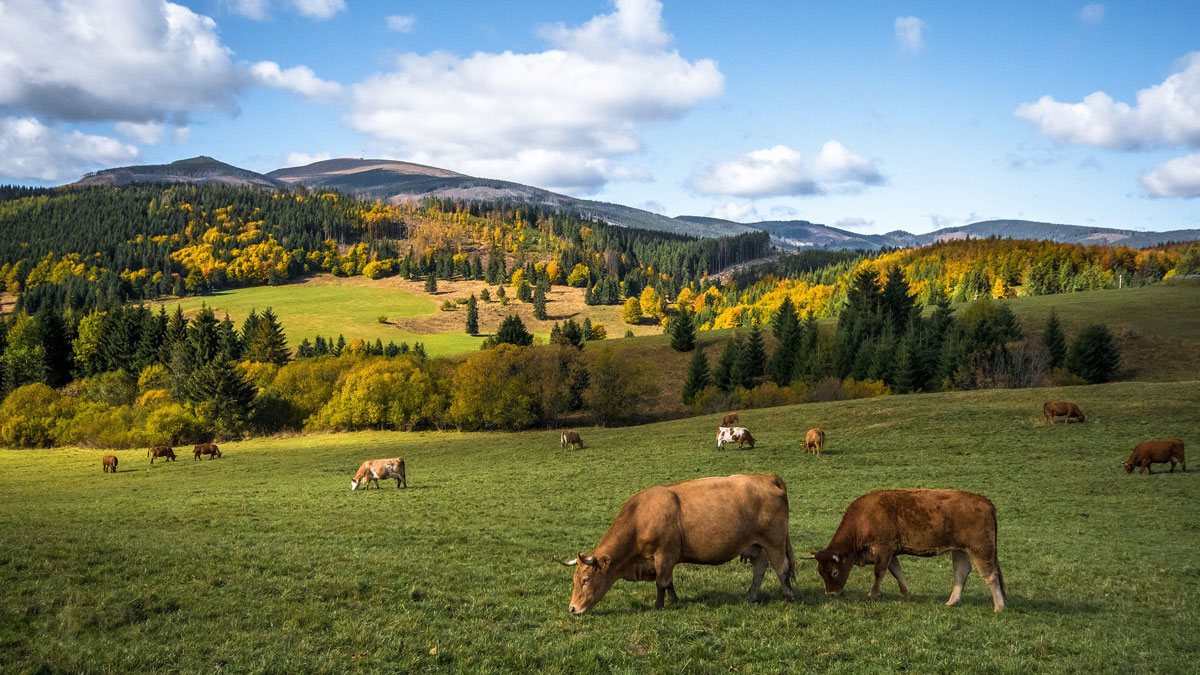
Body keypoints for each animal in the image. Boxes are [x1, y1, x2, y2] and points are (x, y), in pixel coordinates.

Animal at [555, 473, 795, 614]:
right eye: (575, 580)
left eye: (585, 580)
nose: (572, 608)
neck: (641, 517)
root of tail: (766, 477)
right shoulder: (664, 559)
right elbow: (669, 581)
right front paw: (674, 600)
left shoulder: (664, 554)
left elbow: (661, 582)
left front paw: (658, 606)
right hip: (756, 545)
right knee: (760, 569)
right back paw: (751, 596)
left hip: (774, 542)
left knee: (782, 569)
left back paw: (789, 597)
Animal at [806, 489, 1006, 612]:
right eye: (820, 571)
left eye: (834, 571)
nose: (830, 594)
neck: (863, 518)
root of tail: (985, 501)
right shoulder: (891, 552)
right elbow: (896, 571)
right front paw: (906, 593)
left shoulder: (883, 548)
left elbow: (879, 572)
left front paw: (874, 594)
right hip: (959, 549)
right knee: (961, 572)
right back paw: (952, 601)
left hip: (981, 549)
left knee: (990, 574)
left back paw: (999, 606)